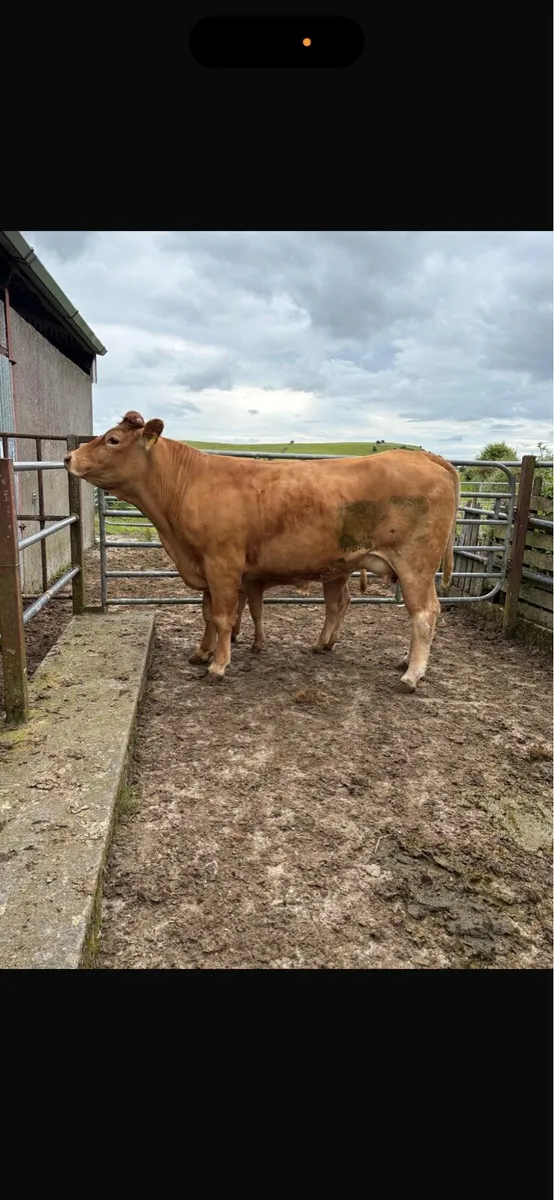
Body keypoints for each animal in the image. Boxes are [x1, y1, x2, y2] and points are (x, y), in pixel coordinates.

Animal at [65, 411, 460, 691]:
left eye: (113, 439)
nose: (69, 456)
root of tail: (426, 458)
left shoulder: (222, 563)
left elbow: (223, 616)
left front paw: (218, 665)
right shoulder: (205, 566)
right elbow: (207, 615)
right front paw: (201, 653)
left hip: (415, 564)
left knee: (424, 613)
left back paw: (412, 674)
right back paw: (392, 659)